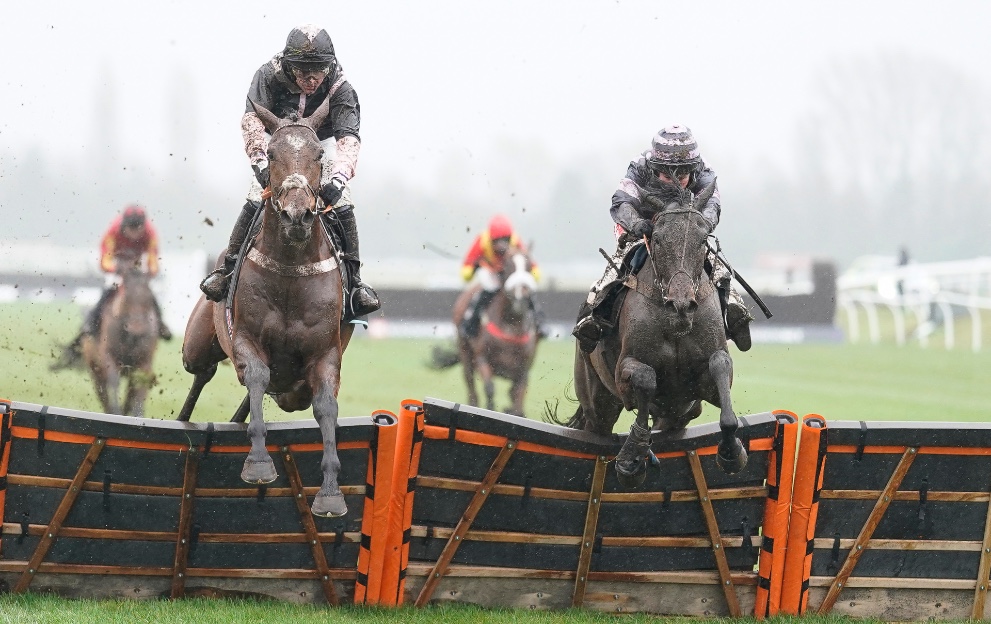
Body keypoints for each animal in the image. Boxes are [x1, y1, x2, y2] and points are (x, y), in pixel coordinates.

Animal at [81, 262, 159, 417]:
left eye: (148, 297)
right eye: (126, 296)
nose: (136, 328)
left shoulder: (145, 361)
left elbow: (140, 386)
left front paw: (138, 414)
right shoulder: (108, 356)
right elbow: (114, 381)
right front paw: (116, 412)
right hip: (95, 369)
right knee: (103, 393)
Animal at [177, 96, 355, 518]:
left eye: (319, 154)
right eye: (271, 153)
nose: (296, 214)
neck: (290, 268)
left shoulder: (325, 355)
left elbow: (326, 407)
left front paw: (330, 492)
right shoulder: (246, 339)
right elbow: (256, 376)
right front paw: (258, 463)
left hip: (290, 390)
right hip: (197, 347)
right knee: (202, 375)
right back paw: (181, 421)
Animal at [433, 248, 540, 416]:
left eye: (529, 266)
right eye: (508, 266)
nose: (522, 295)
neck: (511, 324)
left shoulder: (524, 365)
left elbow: (518, 393)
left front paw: (514, 411)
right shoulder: (482, 357)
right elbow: (490, 387)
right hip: (465, 351)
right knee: (470, 383)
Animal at [566, 179, 748, 488]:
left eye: (703, 240)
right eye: (659, 239)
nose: (681, 304)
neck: (675, 324)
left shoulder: (702, 383)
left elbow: (720, 366)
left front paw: (731, 452)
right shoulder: (624, 370)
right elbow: (645, 378)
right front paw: (632, 458)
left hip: (678, 416)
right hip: (596, 400)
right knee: (596, 425)